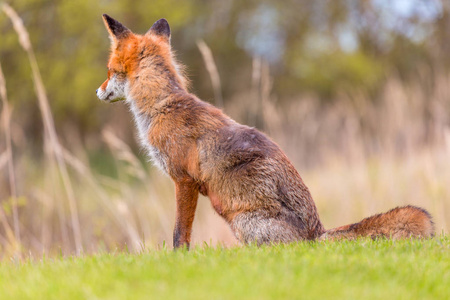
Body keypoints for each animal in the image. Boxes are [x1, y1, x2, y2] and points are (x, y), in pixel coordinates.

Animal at [96, 14, 434, 248]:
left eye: (110, 71)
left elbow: (181, 233)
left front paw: (178, 259)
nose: (97, 92)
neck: (163, 106)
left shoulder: (184, 180)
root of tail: (316, 233)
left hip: (242, 221)